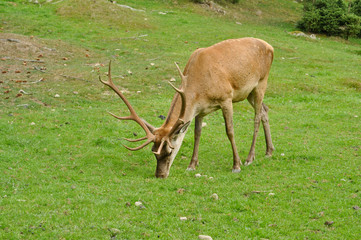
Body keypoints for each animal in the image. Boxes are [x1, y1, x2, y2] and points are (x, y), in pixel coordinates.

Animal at [100, 36, 274, 177]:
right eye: (154, 152)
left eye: (169, 151)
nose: (160, 175)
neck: (199, 87)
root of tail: (270, 46)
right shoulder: (200, 110)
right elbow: (197, 133)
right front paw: (192, 165)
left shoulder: (226, 98)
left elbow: (230, 131)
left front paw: (236, 166)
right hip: (249, 93)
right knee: (265, 110)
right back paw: (269, 151)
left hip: (261, 82)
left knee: (257, 117)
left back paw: (249, 158)